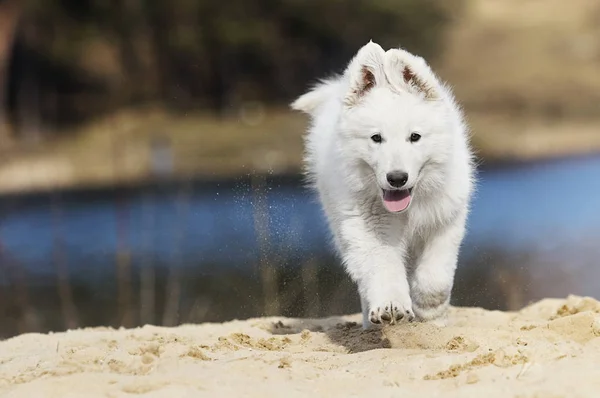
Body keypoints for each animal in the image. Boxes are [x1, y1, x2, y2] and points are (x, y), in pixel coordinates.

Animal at [290, 41, 474, 330]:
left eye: (415, 137)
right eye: (376, 138)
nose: (396, 178)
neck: (408, 207)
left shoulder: (445, 221)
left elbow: (435, 278)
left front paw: (430, 314)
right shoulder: (370, 228)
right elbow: (383, 269)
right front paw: (391, 307)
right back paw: (369, 322)